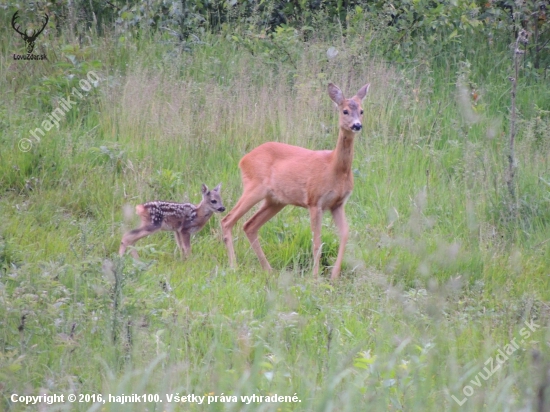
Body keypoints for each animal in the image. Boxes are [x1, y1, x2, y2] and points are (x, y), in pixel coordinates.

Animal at [221, 82, 370, 280]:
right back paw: (233, 266)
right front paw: (315, 277)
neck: (334, 167)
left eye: (361, 110)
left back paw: (268, 270)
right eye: (345, 110)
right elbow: (317, 242)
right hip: (254, 187)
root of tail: (243, 159)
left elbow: (345, 234)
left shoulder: (337, 204)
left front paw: (334, 276)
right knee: (227, 220)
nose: (357, 125)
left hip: (276, 200)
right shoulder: (315, 201)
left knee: (249, 225)